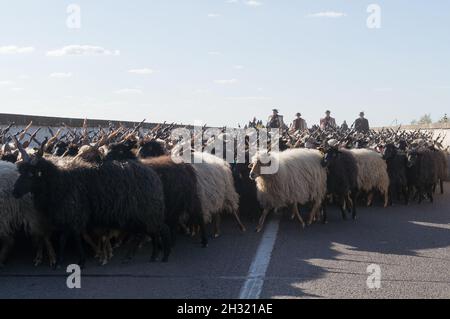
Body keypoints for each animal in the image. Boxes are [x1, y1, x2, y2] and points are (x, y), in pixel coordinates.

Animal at [12, 150, 171, 268]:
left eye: (31, 173)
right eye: (21, 172)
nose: (15, 192)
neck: (60, 182)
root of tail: (154, 175)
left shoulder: (75, 214)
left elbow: (76, 238)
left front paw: (81, 261)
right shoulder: (68, 215)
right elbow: (64, 239)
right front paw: (59, 262)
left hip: (149, 211)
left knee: (159, 230)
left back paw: (162, 255)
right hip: (143, 214)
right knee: (149, 233)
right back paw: (148, 256)